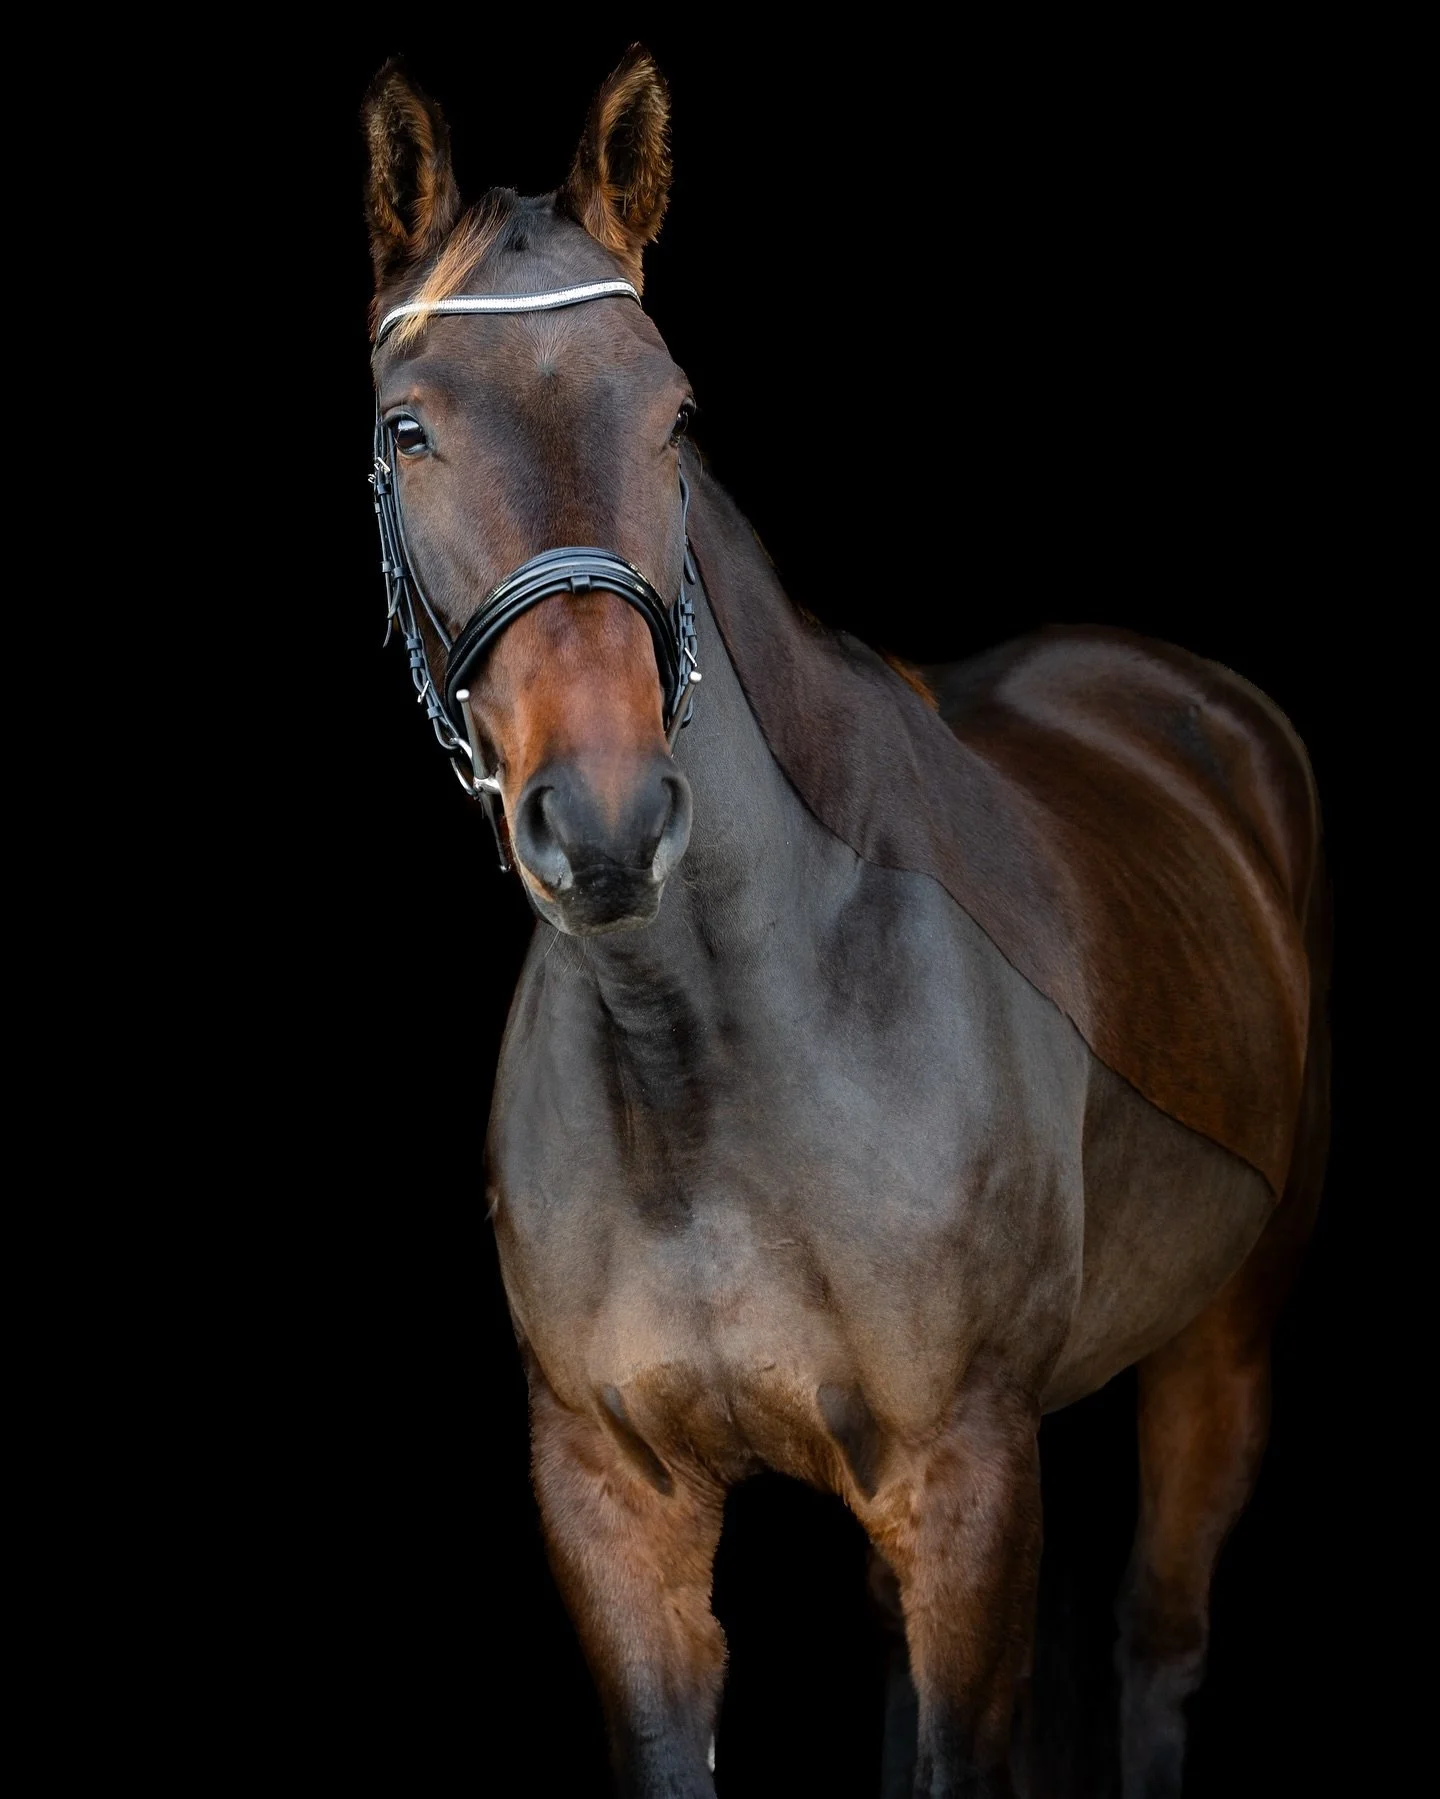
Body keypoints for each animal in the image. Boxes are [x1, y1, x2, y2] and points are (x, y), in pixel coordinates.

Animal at [360, 48, 1329, 1798]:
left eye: (676, 412)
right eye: (409, 428)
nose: (607, 821)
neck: (706, 1063)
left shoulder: (969, 1479)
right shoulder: (614, 1507)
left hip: (1223, 1337)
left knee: (1158, 1640)